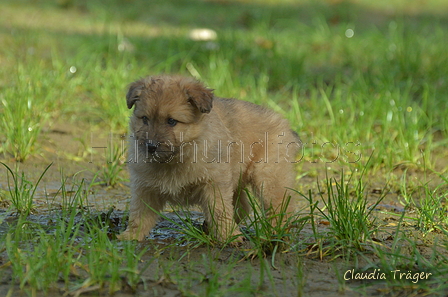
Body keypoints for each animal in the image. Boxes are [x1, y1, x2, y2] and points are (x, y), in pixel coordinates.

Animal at [117, 75, 300, 242]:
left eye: (171, 121)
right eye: (145, 119)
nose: (151, 146)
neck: (176, 158)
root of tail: (284, 123)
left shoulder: (215, 184)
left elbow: (220, 211)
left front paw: (228, 237)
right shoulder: (144, 187)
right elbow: (139, 214)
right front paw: (131, 236)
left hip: (268, 178)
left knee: (281, 207)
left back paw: (276, 234)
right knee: (242, 206)